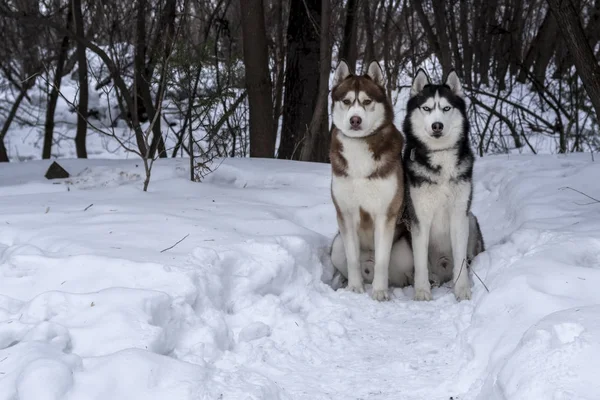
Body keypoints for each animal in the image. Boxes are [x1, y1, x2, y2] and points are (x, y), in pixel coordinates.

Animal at [326, 61, 410, 300]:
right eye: (346, 101)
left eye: (366, 101)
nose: (355, 119)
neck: (359, 147)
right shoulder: (345, 213)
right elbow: (353, 258)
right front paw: (354, 288)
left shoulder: (385, 214)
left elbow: (382, 260)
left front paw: (380, 292)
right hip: (336, 246)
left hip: (404, 251)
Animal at [400, 69, 486, 300]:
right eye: (427, 108)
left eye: (446, 108)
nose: (436, 125)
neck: (440, 156)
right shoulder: (419, 218)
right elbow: (420, 262)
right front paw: (422, 291)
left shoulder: (459, 214)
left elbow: (460, 259)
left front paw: (462, 290)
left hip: (470, 218)